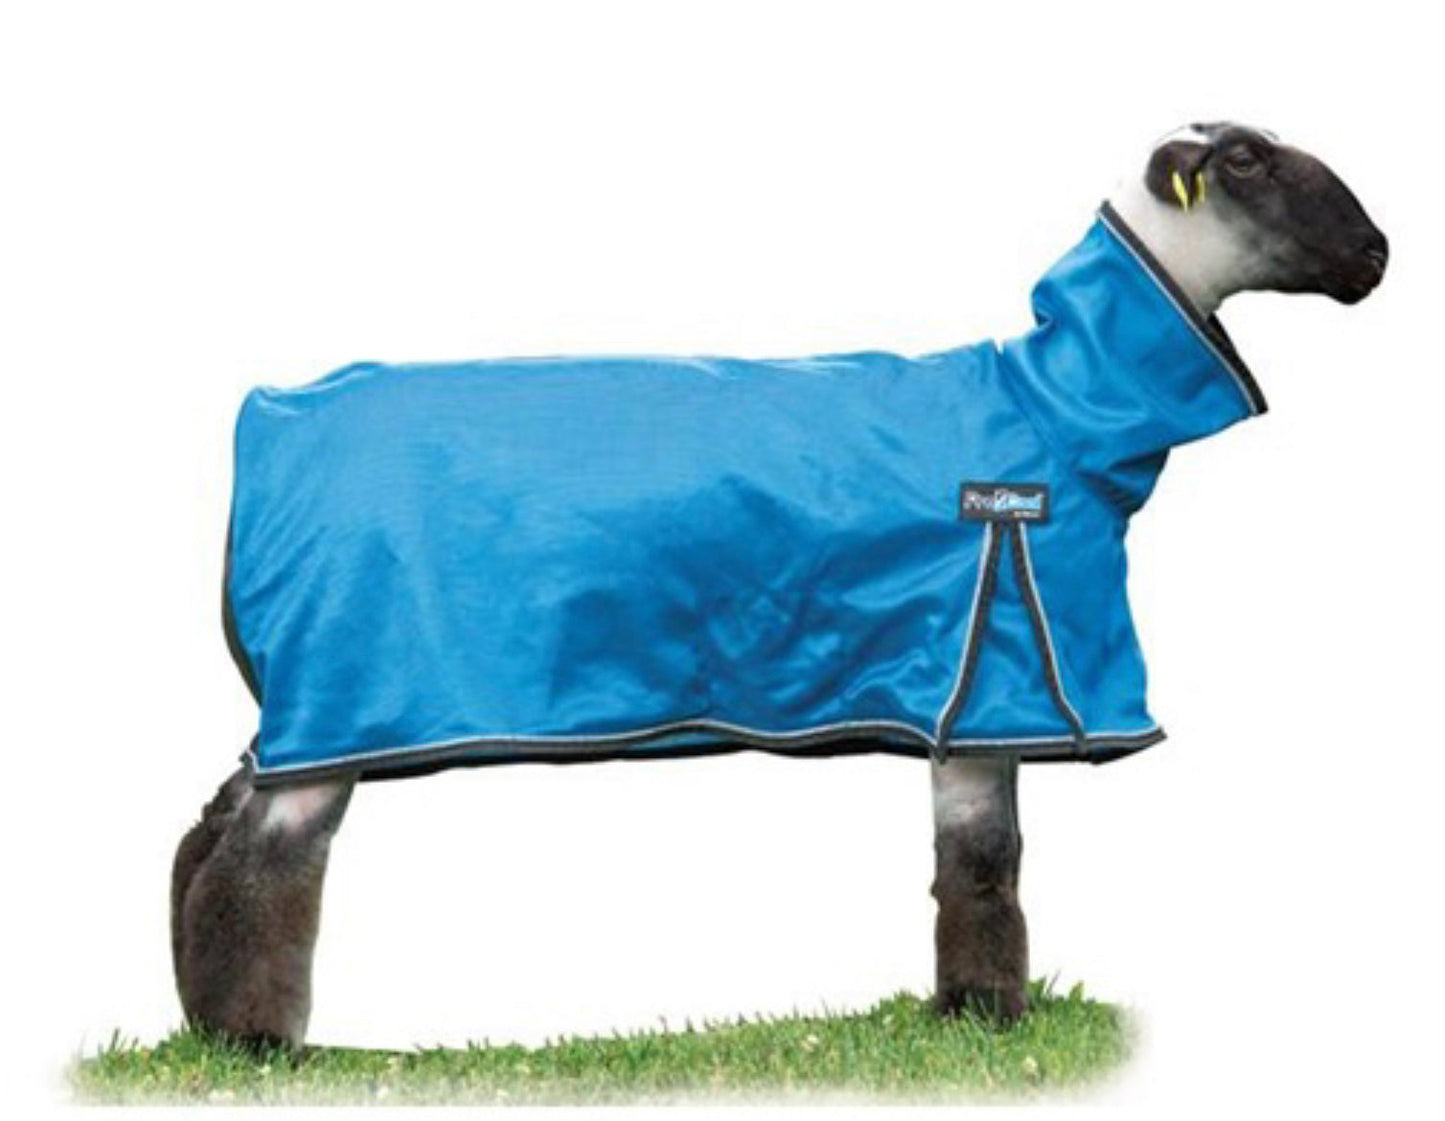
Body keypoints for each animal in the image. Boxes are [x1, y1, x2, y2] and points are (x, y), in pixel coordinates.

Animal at [172, 121, 1387, 1047]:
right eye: (1245, 160)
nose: (1376, 254)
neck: (1056, 407)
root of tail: (266, 414)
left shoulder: (972, 701)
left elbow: (972, 863)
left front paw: (963, 1013)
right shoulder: (991, 682)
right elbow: (985, 866)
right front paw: (993, 1020)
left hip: (301, 701)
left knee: (215, 819)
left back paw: (200, 1009)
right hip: (341, 688)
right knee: (263, 860)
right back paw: (255, 1037)